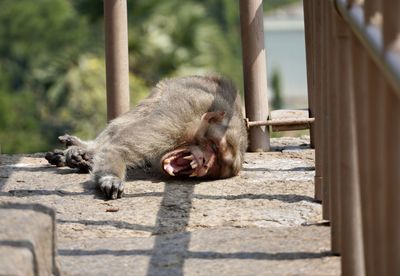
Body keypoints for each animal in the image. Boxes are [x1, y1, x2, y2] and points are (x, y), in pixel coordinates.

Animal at [45, 74, 248, 199]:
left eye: (217, 164)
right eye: (213, 146)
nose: (205, 162)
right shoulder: (182, 116)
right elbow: (120, 145)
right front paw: (111, 177)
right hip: (163, 90)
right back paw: (85, 151)